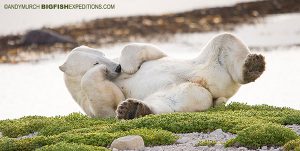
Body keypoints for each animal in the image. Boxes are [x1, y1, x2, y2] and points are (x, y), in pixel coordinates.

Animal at [59, 33, 264, 119]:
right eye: (95, 61)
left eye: (102, 53)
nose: (117, 68)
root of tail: (217, 95)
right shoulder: (86, 102)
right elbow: (106, 104)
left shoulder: (151, 54)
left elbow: (150, 51)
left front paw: (129, 66)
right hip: (193, 88)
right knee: (169, 102)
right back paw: (132, 109)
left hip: (206, 66)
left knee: (224, 39)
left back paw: (253, 65)